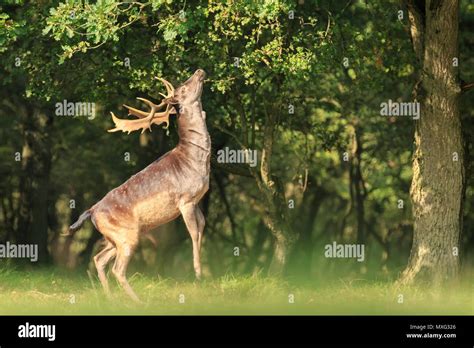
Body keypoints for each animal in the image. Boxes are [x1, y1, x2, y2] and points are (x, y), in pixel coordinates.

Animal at [67, 69, 209, 300]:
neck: (193, 160)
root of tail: (92, 211)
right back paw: (137, 301)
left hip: (116, 238)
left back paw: (111, 299)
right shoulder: (185, 200)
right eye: (183, 89)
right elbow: (194, 233)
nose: (199, 71)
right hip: (127, 236)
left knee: (99, 259)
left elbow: (202, 226)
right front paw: (198, 274)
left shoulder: (196, 200)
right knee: (117, 269)